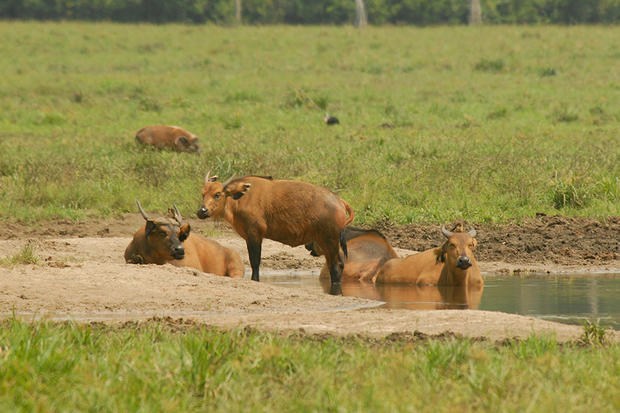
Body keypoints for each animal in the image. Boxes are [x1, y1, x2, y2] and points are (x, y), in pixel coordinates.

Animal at [196, 173, 356, 292]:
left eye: (217, 194)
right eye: (203, 194)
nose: (201, 211)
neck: (241, 199)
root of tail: (338, 200)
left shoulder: (254, 235)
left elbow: (255, 262)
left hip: (330, 241)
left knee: (335, 268)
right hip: (326, 244)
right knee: (339, 265)